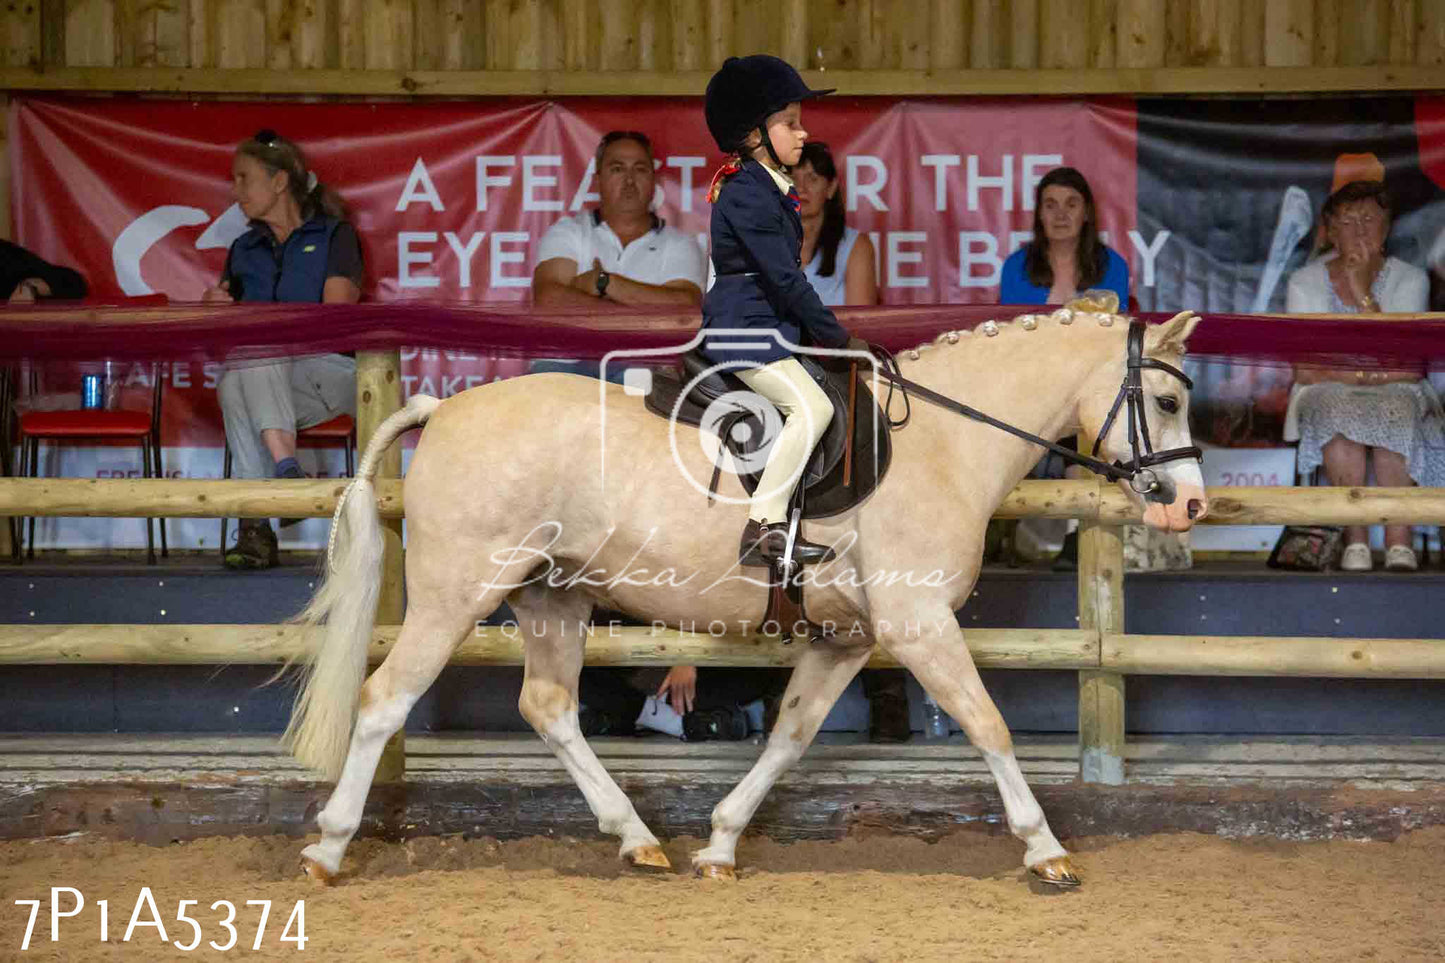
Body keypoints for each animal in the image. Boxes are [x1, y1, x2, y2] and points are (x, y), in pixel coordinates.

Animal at [281, 303, 1208, 890]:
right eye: (1165, 398)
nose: (1190, 505)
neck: (945, 443)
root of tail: (441, 409)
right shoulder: (918, 625)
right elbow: (989, 725)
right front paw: (1045, 849)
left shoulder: (847, 639)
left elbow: (789, 736)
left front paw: (721, 843)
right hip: (457, 594)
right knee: (384, 698)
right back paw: (327, 848)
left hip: (554, 597)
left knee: (547, 706)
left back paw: (638, 839)